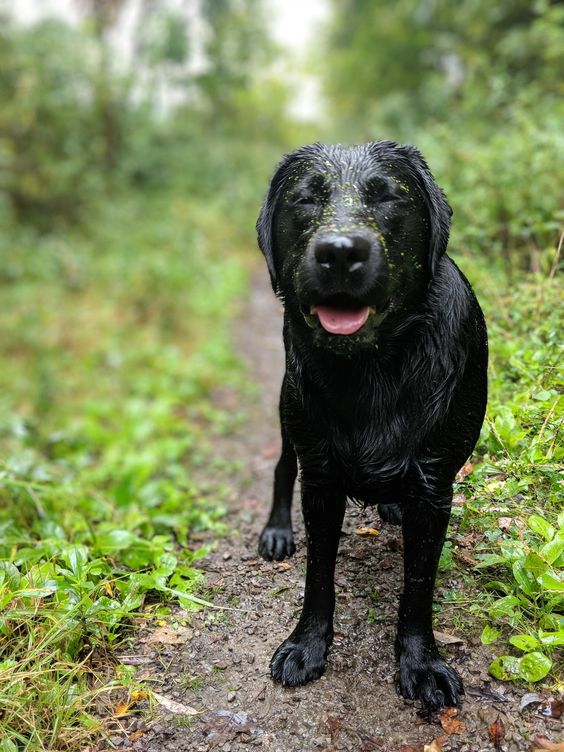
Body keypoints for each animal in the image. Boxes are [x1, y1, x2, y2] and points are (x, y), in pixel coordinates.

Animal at [258, 142, 486, 712]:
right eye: (305, 199)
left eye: (387, 197)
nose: (339, 251)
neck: (372, 368)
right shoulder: (320, 479)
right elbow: (319, 573)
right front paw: (306, 646)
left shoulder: (435, 488)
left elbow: (418, 586)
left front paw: (420, 664)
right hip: (288, 414)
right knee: (281, 469)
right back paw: (276, 531)